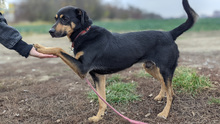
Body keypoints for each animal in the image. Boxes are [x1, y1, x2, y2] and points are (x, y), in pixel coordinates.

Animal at [34, 0, 198, 122]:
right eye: (56, 18)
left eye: (65, 18)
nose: (50, 31)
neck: (84, 33)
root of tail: (170, 34)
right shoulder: (98, 76)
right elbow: (102, 100)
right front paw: (98, 117)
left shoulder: (82, 68)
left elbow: (58, 49)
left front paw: (41, 47)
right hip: (150, 67)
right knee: (167, 86)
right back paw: (160, 96)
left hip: (165, 69)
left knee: (171, 93)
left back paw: (164, 113)